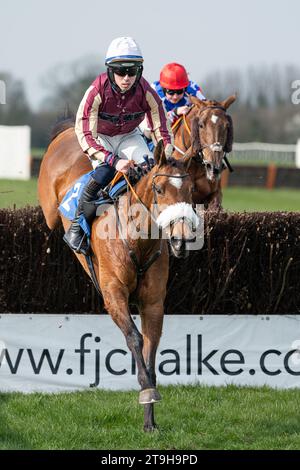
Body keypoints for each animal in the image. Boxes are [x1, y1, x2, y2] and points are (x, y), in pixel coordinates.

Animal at [38, 123, 199, 432]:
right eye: (159, 189)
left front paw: (150, 419)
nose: (182, 240)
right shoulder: (113, 295)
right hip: (51, 210)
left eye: (191, 190)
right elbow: (134, 338)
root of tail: (66, 132)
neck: (137, 240)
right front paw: (147, 391)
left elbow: (150, 346)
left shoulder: (153, 303)